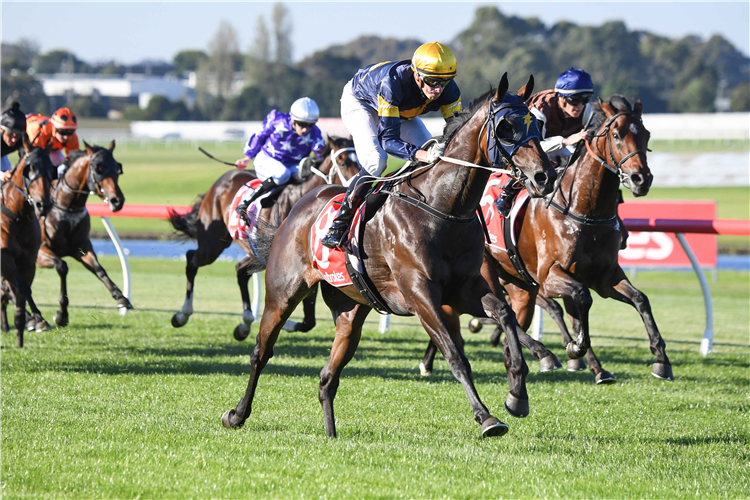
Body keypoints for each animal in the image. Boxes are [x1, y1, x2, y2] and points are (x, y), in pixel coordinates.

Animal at [0, 138, 53, 348]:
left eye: (51, 168)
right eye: (30, 168)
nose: (42, 204)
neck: (17, 217)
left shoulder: (29, 261)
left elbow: (24, 291)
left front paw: (21, 335)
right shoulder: (5, 259)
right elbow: (19, 289)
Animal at [32, 141, 128, 328]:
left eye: (117, 168)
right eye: (99, 168)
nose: (117, 201)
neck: (66, 207)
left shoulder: (81, 247)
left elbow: (99, 269)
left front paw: (121, 297)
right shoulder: (40, 252)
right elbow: (62, 266)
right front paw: (61, 315)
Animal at [170, 137, 362, 340]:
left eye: (358, 159)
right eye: (342, 162)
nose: (356, 190)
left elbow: (310, 320)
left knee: (240, 270)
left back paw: (245, 324)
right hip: (212, 244)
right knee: (192, 258)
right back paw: (182, 315)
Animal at [217, 73, 560, 438]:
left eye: (536, 124)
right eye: (506, 127)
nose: (545, 176)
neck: (442, 207)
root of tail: (299, 207)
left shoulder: (463, 288)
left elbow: (505, 314)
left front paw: (517, 394)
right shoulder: (420, 294)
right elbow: (455, 354)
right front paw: (486, 418)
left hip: (351, 310)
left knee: (327, 377)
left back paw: (331, 433)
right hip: (283, 293)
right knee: (262, 351)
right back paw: (237, 414)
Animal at [420, 94, 672, 382]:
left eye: (646, 134)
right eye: (617, 135)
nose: (642, 178)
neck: (582, 211)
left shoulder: (605, 277)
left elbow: (640, 300)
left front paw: (661, 360)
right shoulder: (550, 275)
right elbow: (582, 298)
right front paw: (576, 348)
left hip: (518, 285)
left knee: (512, 315)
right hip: (484, 273)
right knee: (491, 312)